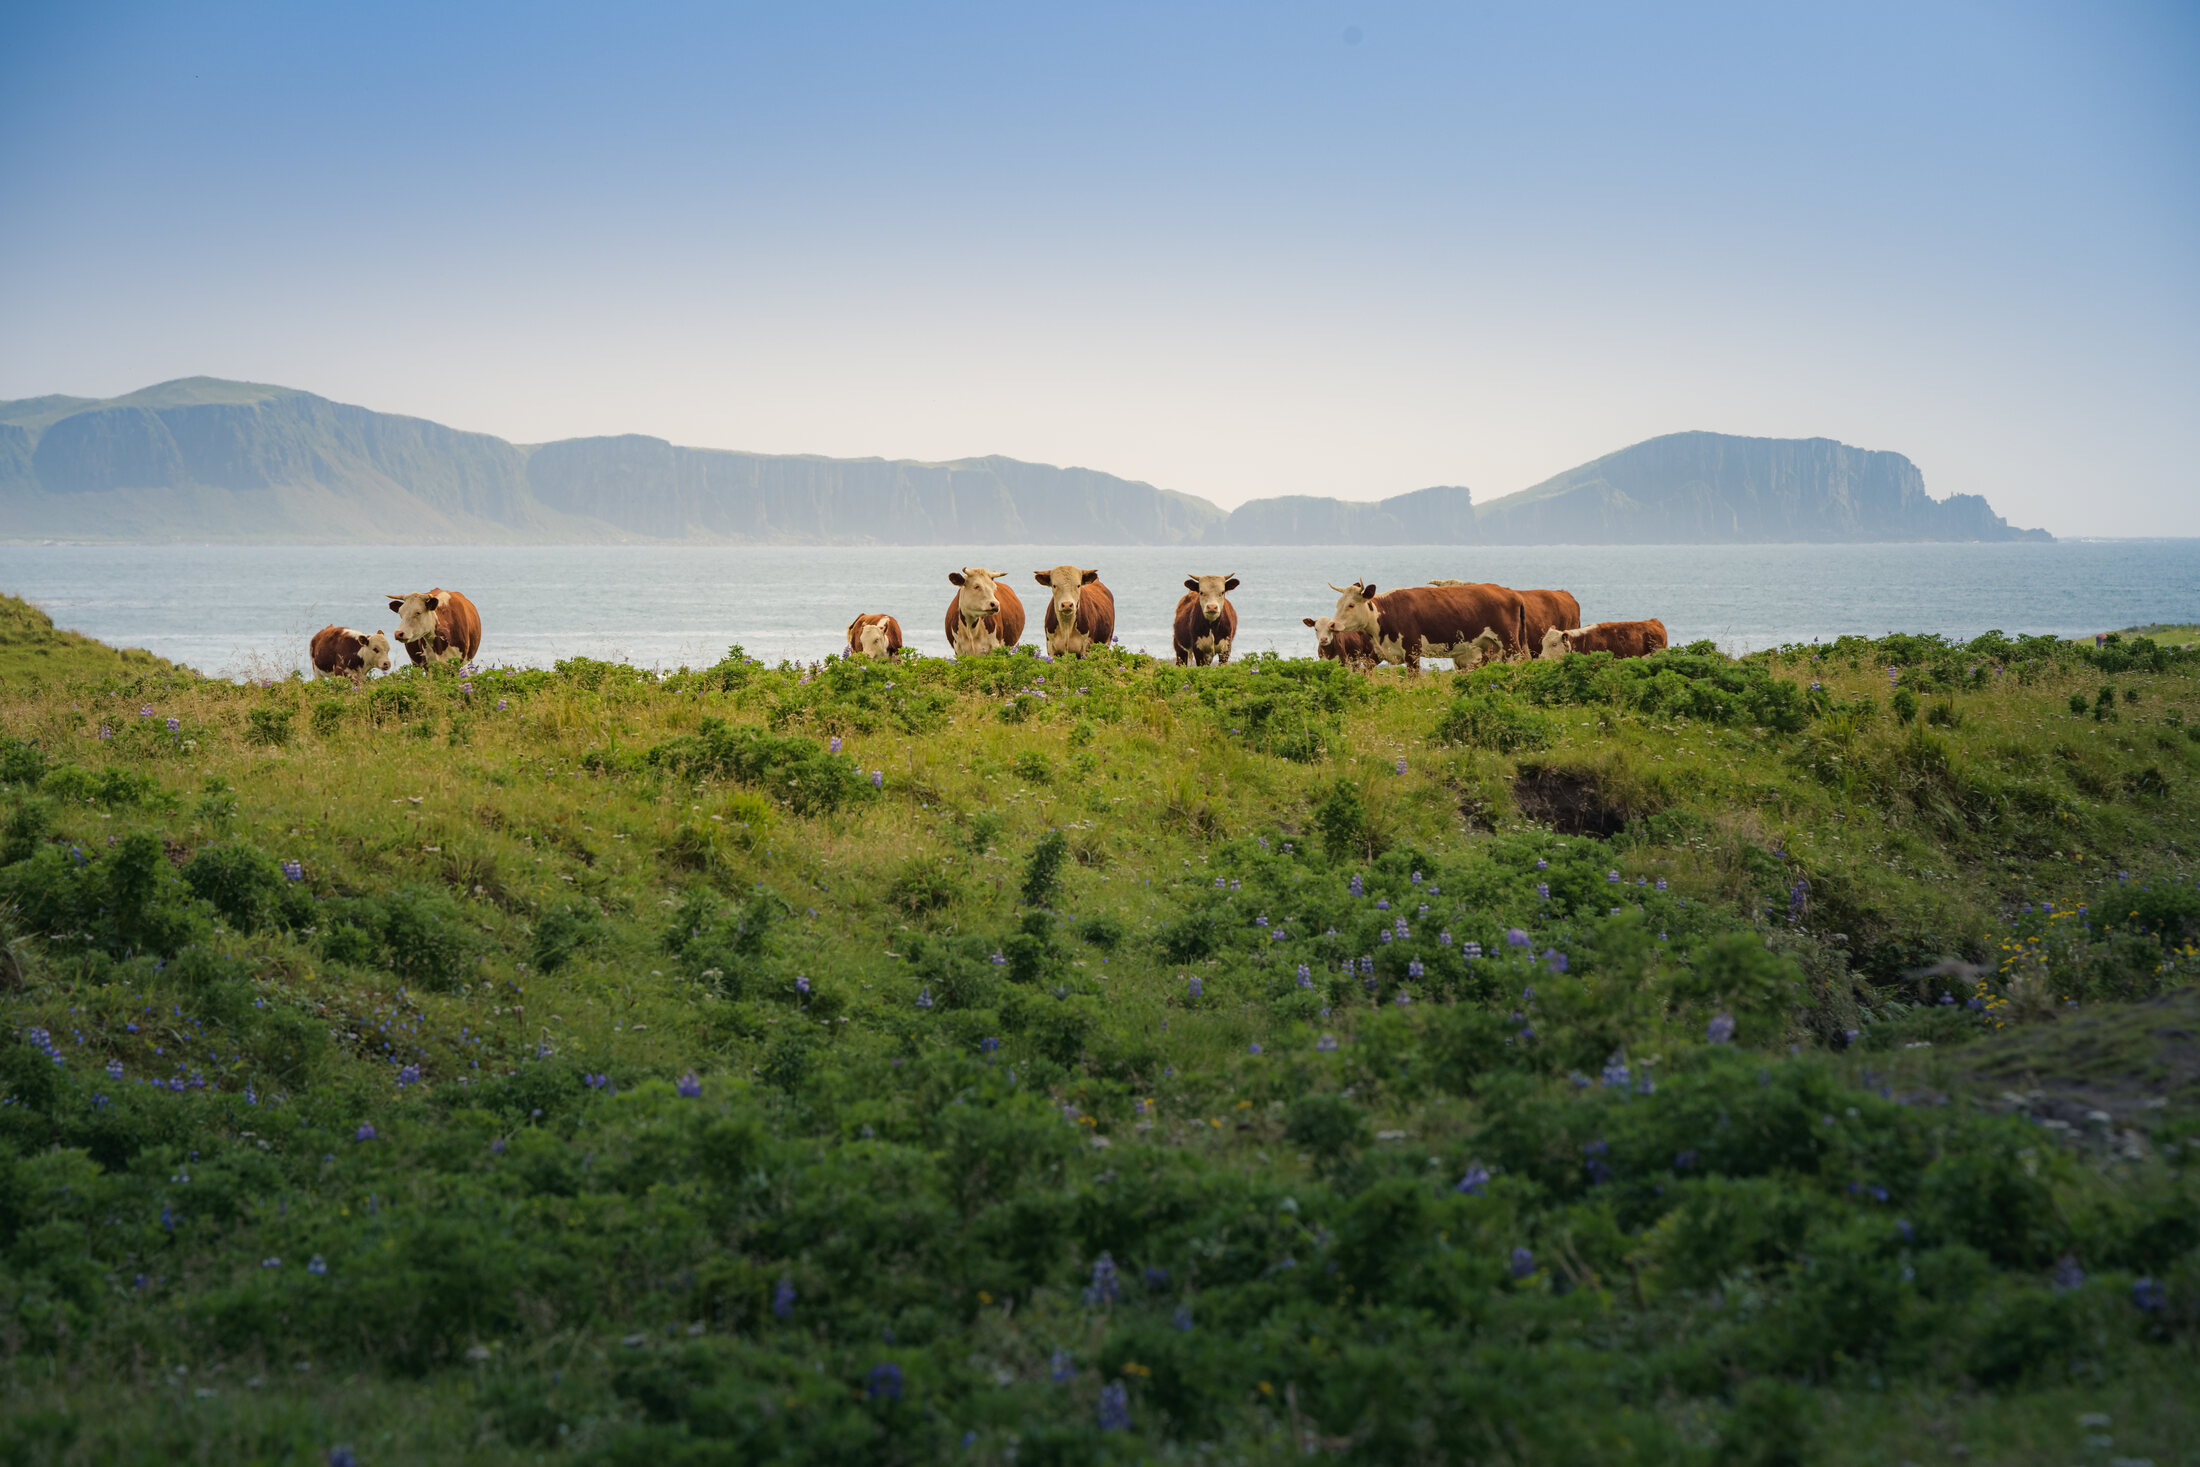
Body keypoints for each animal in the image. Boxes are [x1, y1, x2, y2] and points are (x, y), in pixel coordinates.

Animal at [1328, 580, 1527, 671]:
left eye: (1351, 605)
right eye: (1337, 603)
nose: (1331, 624)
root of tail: (1511, 593)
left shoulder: (1412, 652)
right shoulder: (1379, 652)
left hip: (1509, 641)